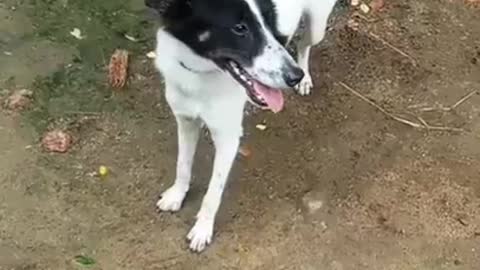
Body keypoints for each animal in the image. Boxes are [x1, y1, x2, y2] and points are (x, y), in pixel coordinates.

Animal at [146, 0, 338, 251]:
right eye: (239, 28)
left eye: (269, 20)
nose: (293, 76)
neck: (201, 74)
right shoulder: (186, 121)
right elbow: (183, 165)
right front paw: (177, 195)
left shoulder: (227, 139)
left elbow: (213, 192)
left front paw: (203, 229)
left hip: (317, 25)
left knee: (304, 43)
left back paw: (305, 77)